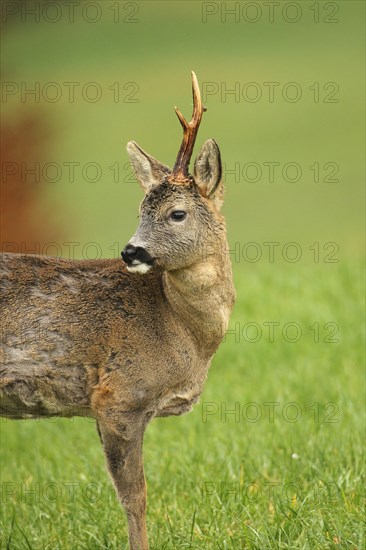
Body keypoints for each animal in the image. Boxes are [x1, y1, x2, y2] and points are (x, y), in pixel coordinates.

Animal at [0, 73, 234, 550]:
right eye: (140, 210)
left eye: (176, 213)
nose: (131, 251)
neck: (184, 332)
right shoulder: (118, 396)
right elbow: (135, 497)